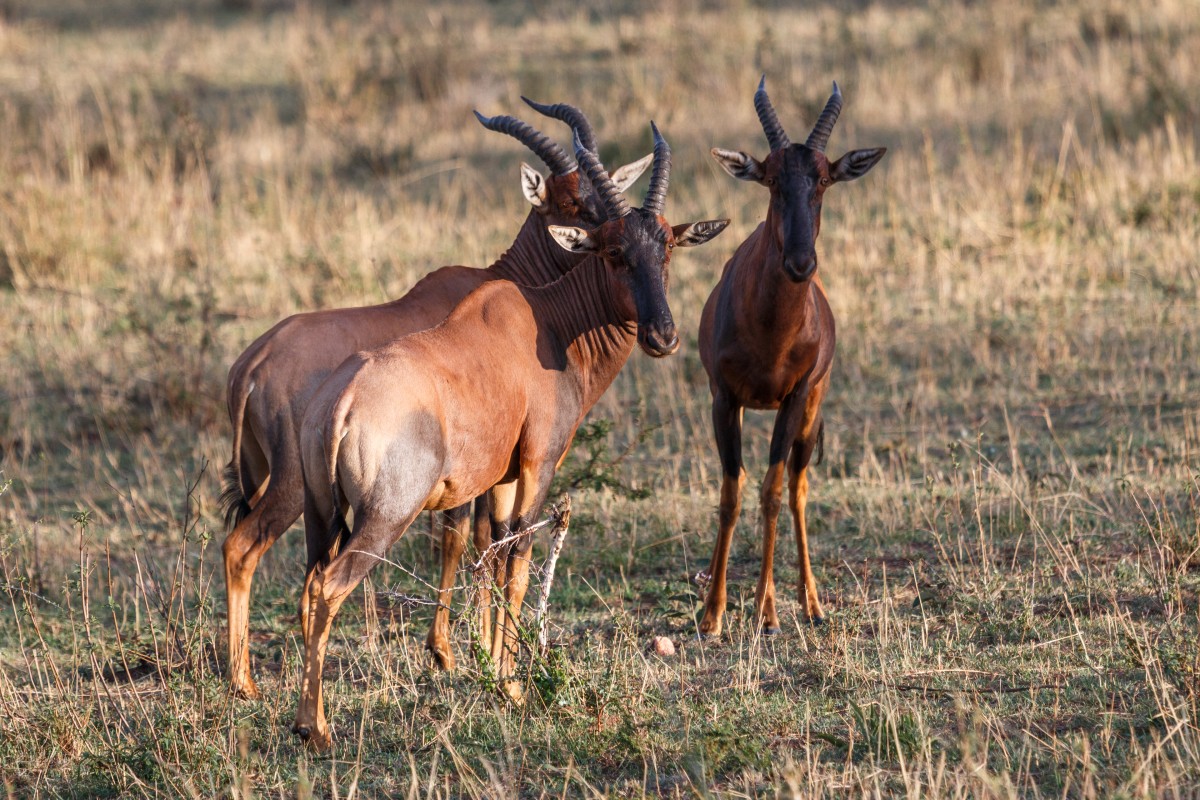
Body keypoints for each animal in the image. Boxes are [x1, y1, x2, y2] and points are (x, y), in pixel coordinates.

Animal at [225, 101, 657, 700]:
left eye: (603, 192)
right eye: (572, 203)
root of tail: (254, 361)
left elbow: (481, 544)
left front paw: (472, 654)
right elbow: (467, 542)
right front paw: (455, 654)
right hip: (291, 485)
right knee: (243, 547)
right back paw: (244, 682)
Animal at [291, 125, 724, 753]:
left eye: (666, 247)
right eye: (612, 251)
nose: (662, 336)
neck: (546, 323)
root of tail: (342, 400)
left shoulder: (501, 475)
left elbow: (492, 555)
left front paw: (491, 670)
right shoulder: (540, 464)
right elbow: (519, 561)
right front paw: (514, 687)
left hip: (321, 514)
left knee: (307, 586)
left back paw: (304, 719)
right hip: (384, 517)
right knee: (330, 587)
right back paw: (317, 728)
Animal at [700, 77, 888, 633]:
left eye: (824, 180)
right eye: (770, 180)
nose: (802, 263)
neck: (772, 332)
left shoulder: (794, 397)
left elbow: (773, 492)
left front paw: (766, 612)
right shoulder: (724, 399)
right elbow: (732, 493)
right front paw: (712, 614)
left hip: (812, 410)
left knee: (798, 487)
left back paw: (811, 604)